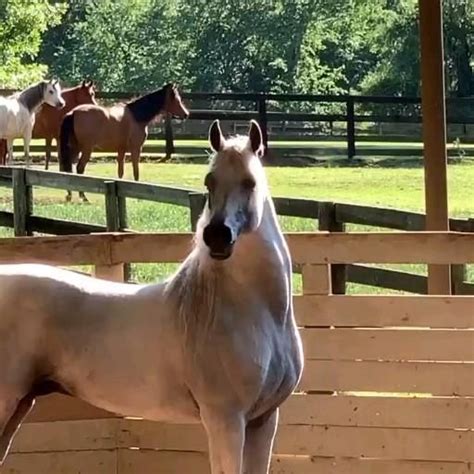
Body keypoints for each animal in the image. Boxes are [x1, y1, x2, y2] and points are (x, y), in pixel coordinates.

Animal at [0, 119, 304, 474]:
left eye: (250, 182)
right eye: (209, 181)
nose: (216, 236)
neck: (252, 311)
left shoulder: (263, 420)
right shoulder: (226, 421)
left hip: (20, 404)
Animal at [57, 82, 187, 200]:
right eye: (177, 99)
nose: (186, 114)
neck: (136, 116)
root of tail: (73, 113)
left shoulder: (121, 150)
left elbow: (120, 172)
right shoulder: (136, 149)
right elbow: (136, 171)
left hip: (75, 148)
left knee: (68, 168)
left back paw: (70, 195)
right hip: (86, 149)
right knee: (79, 168)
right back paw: (83, 197)